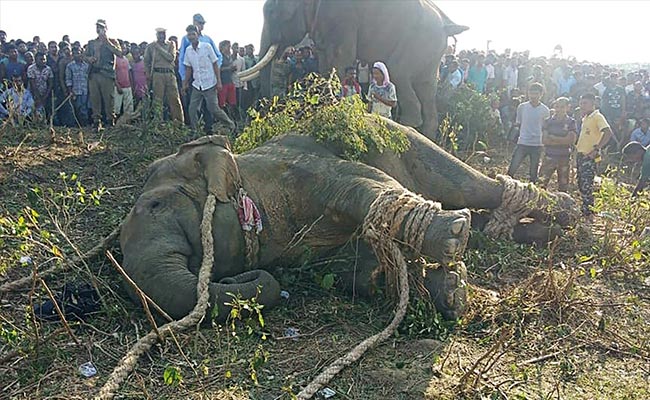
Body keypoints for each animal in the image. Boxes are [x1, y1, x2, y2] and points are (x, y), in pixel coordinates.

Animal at [120, 118, 576, 324]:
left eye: (156, 205)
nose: (232, 278)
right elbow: (357, 272)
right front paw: (453, 290)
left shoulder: (295, 168)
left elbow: (363, 184)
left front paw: (451, 241)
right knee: (483, 214)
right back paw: (546, 230)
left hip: (407, 138)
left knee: (474, 188)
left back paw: (568, 212)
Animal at [238, 0, 468, 139]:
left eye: (275, 13)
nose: (264, 113)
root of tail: (446, 25)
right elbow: (325, 61)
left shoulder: (340, 17)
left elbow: (340, 58)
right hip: (431, 49)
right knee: (427, 87)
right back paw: (426, 134)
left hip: (418, 40)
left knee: (399, 72)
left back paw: (408, 126)